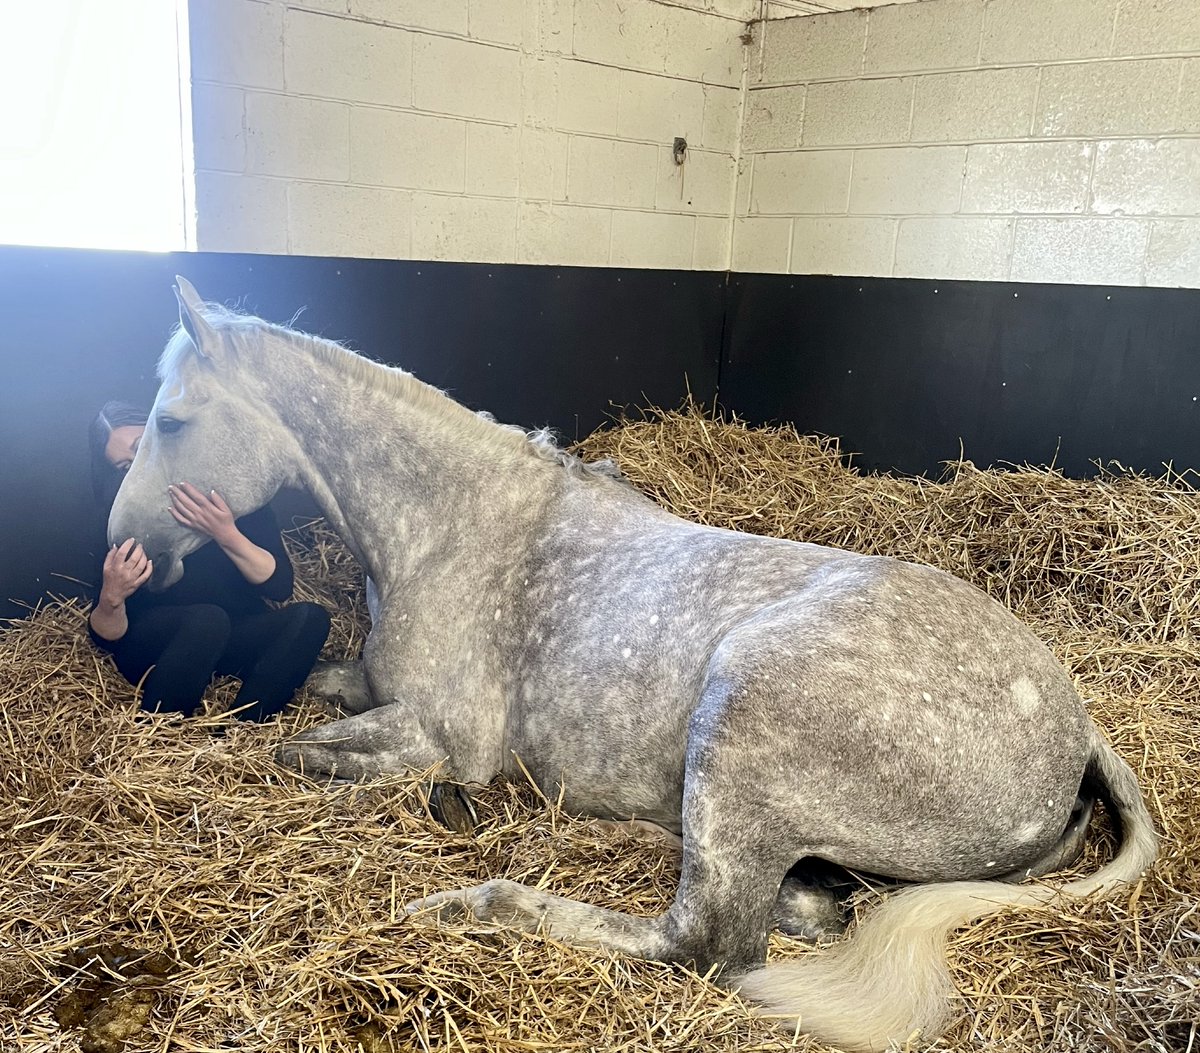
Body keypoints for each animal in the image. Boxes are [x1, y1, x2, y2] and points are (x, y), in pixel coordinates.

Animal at [108, 280, 1156, 1053]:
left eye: (172, 420)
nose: (128, 547)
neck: (452, 526)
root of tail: (1074, 730)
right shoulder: (374, 686)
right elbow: (320, 693)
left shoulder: (444, 733)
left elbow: (301, 751)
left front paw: (442, 804)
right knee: (803, 906)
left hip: (742, 705)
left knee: (704, 940)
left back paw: (473, 903)